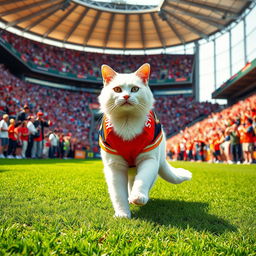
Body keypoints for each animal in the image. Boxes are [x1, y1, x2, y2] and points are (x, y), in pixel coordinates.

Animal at [98, 63, 192, 218]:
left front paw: (138, 197)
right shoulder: (114, 165)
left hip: (155, 162)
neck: (127, 123)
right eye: (117, 89)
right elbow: (118, 193)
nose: (126, 96)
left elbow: (142, 180)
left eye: (135, 89)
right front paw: (123, 214)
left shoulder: (148, 159)